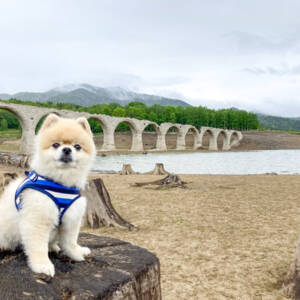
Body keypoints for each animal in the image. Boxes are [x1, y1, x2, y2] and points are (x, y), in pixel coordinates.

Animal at [0, 114, 95, 276]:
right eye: (56, 144)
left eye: (77, 146)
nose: (67, 149)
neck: (60, 183)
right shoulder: (38, 220)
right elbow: (38, 247)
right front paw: (42, 265)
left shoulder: (72, 217)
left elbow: (70, 241)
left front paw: (76, 253)